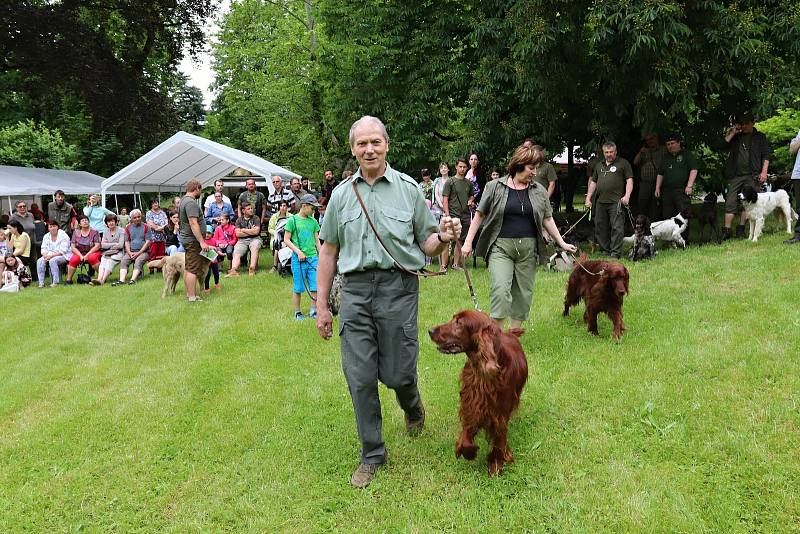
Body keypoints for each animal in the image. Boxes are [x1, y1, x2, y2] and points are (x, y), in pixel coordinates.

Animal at [428, 310, 528, 478]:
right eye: (453, 318)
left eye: (459, 323)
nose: (430, 330)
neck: (482, 373)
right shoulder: (471, 405)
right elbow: (467, 435)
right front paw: (470, 452)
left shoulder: (499, 414)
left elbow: (499, 440)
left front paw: (495, 464)